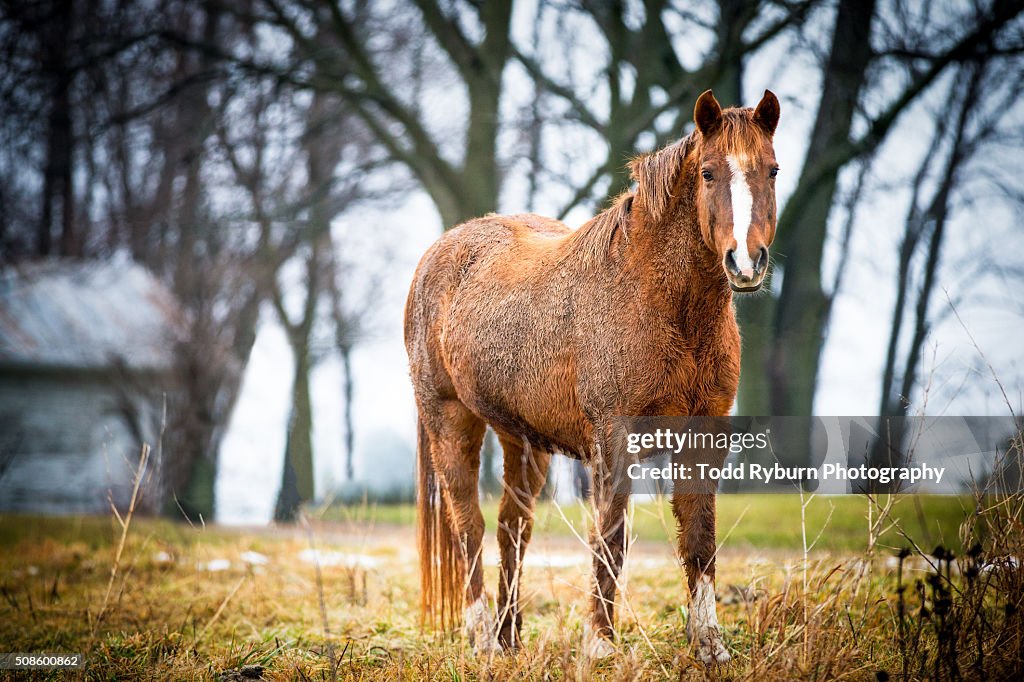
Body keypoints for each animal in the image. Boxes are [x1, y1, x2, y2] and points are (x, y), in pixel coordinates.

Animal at [403, 87, 778, 659]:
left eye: (773, 170)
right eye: (709, 173)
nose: (746, 262)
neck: (659, 300)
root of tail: (439, 252)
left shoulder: (704, 438)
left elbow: (699, 539)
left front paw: (710, 645)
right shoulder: (612, 441)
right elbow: (611, 535)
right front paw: (600, 642)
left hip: (523, 441)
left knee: (513, 528)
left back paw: (509, 638)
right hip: (449, 419)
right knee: (468, 525)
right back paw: (483, 637)